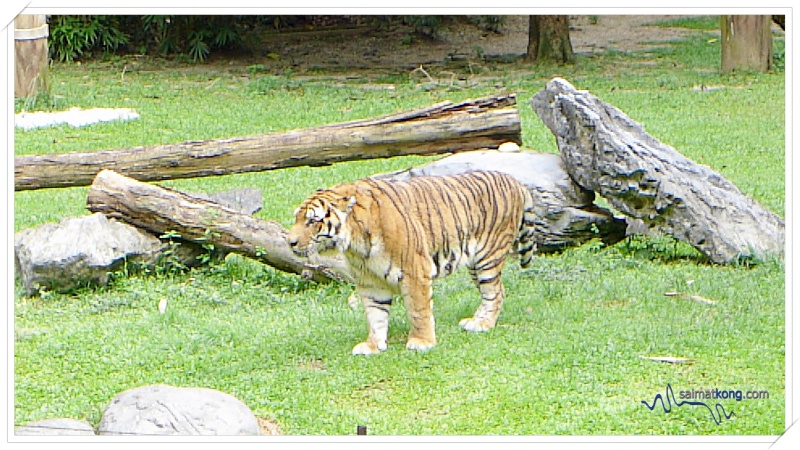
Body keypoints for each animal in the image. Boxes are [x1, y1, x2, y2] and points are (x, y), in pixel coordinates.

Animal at [284, 170, 536, 356]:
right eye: (296, 218)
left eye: (312, 221)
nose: (289, 241)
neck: (356, 246)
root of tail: (515, 181)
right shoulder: (370, 282)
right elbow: (375, 315)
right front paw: (373, 345)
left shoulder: (414, 271)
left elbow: (418, 310)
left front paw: (422, 342)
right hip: (474, 263)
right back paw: (476, 320)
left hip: (487, 258)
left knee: (496, 291)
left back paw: (482, 324)